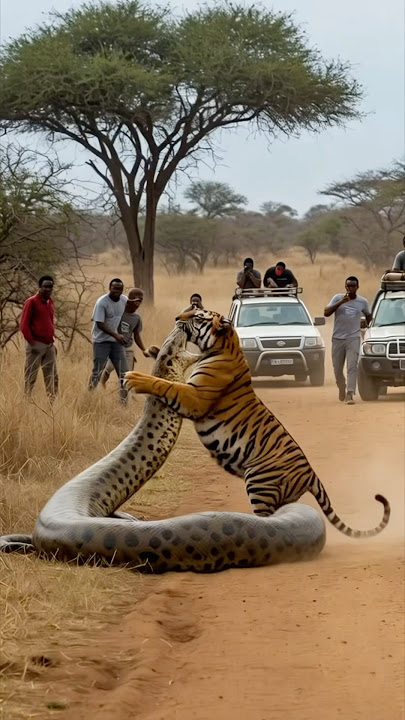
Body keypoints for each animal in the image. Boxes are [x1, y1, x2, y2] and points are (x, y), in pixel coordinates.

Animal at [125, 308, 390, 538]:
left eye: (198, 316)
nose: (177, 318)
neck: (225, 345)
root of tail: (311, 474)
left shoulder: (195, 397)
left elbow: (166, 385)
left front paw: (134, 377)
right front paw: (153, 349)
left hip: (259, 483)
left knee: (268, 519)